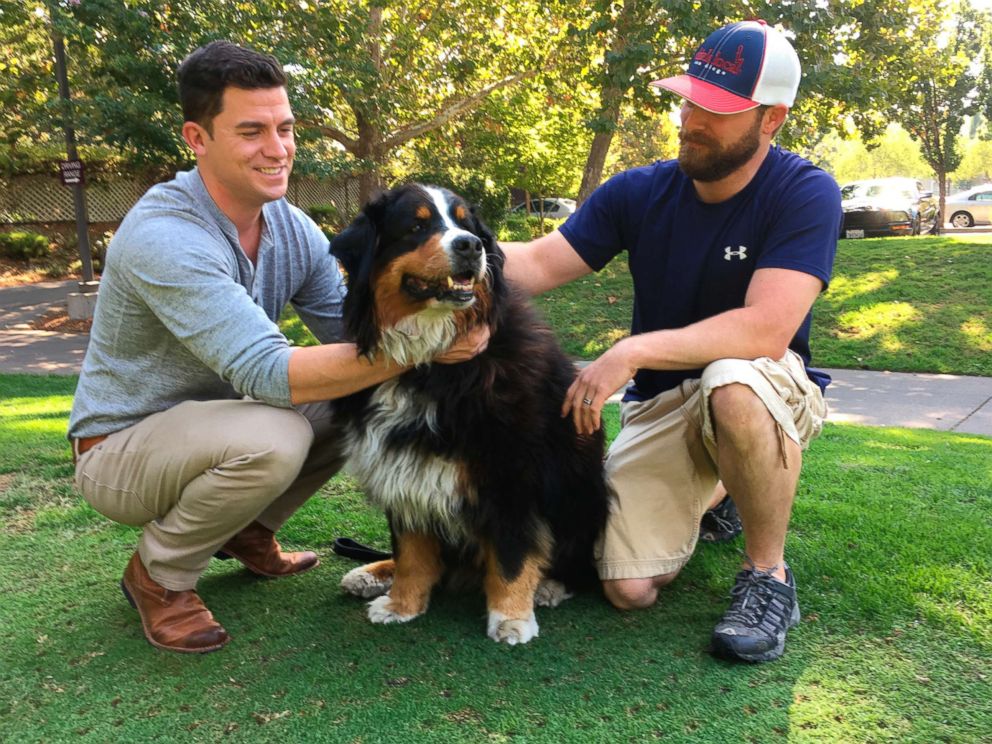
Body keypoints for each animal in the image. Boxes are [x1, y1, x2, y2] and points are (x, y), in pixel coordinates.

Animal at [332, 183, 612, 644]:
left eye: (466, 224)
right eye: (416, 226)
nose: (470, 246)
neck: (429, 365)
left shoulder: (510, 472)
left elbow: (512, 553)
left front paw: (511, 616)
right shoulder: (402, 465)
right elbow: (410, 550)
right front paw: (402, 603)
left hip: (583, 494)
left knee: (580, 560)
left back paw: (550, 585)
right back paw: (373, 573)